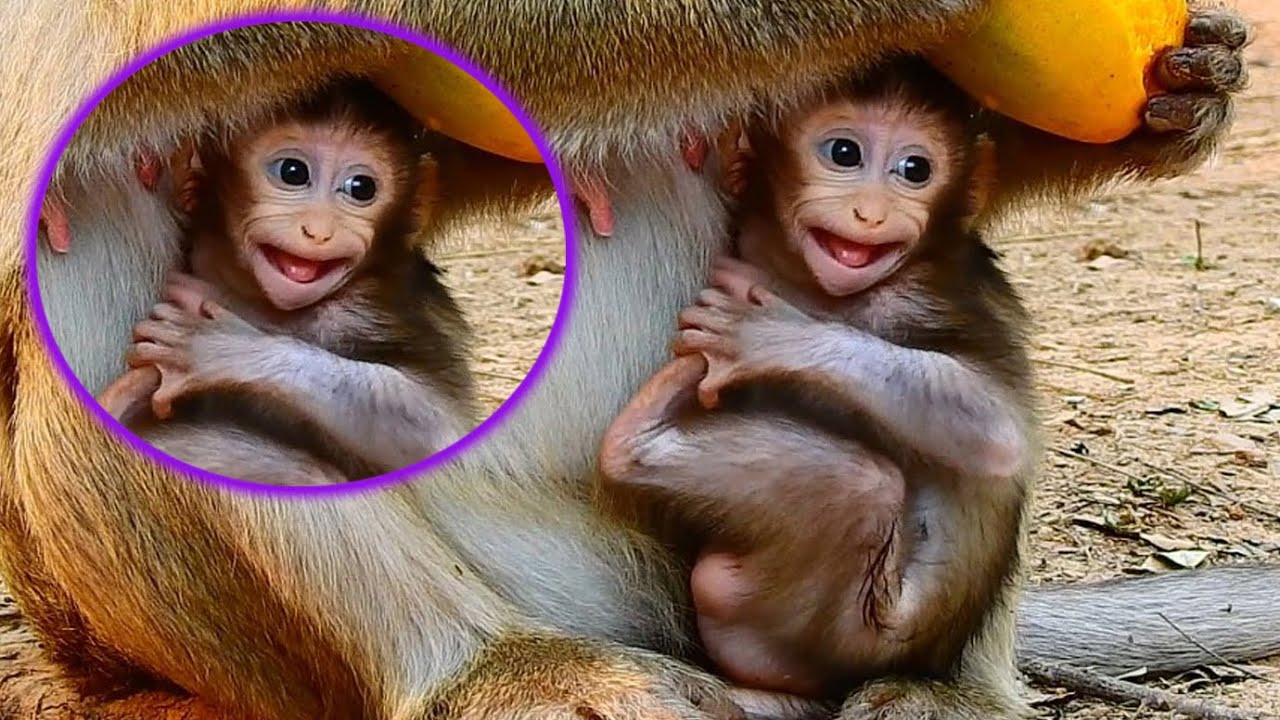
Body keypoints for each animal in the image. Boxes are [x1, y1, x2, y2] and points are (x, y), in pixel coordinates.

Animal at [81, 80, 479, 485]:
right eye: (292, 172)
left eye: (361, 188)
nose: (318, 230)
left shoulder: (364, 310)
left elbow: (433, 425)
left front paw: (217, 348)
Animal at [598, 60, 1034, 698]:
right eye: (844, 153)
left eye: (915, 170)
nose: (871, 213)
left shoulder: (918, 297)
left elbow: (997, 433)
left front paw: (767, 337)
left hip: (833, 629)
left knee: (863, 485)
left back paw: (637, 436)